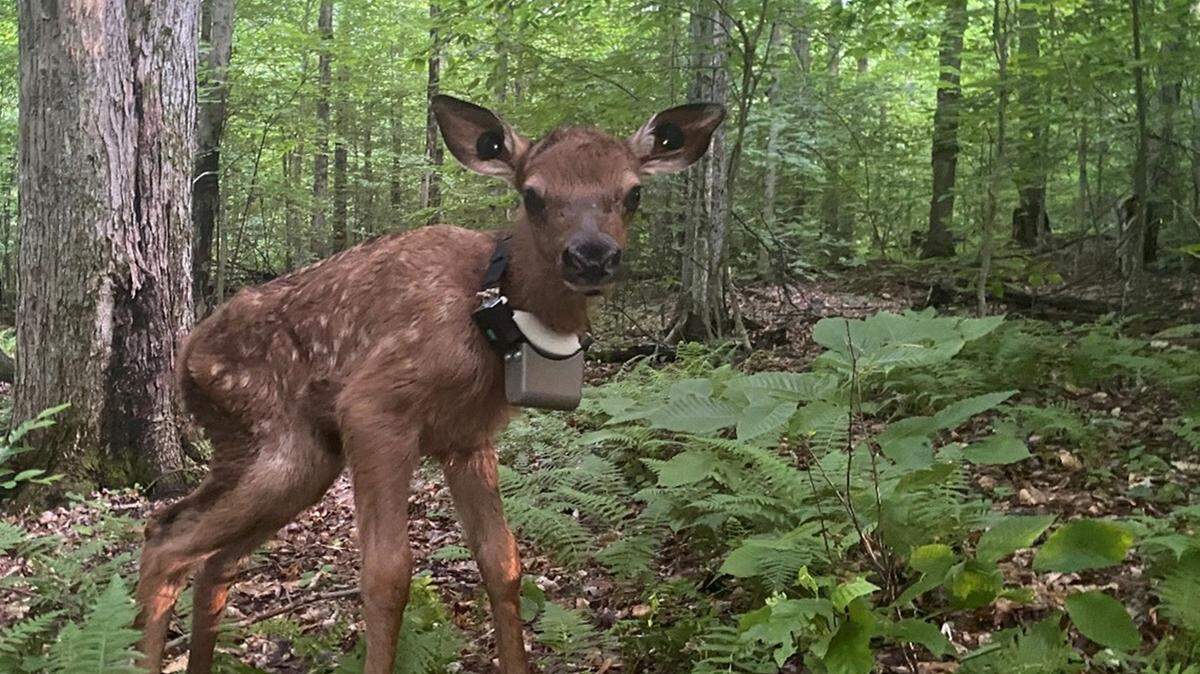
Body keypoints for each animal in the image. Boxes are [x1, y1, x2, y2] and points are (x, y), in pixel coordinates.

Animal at [133, 94, 724, 674]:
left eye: (633, 192)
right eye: (532, 194)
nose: (592, 256)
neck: (491, 316)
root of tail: (186, 357)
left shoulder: (468, 439)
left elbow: (503, 562)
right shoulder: (374, 407)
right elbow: (388, 574)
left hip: (293, 456)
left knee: (209, 559)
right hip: (276, 438)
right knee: (166, 540)